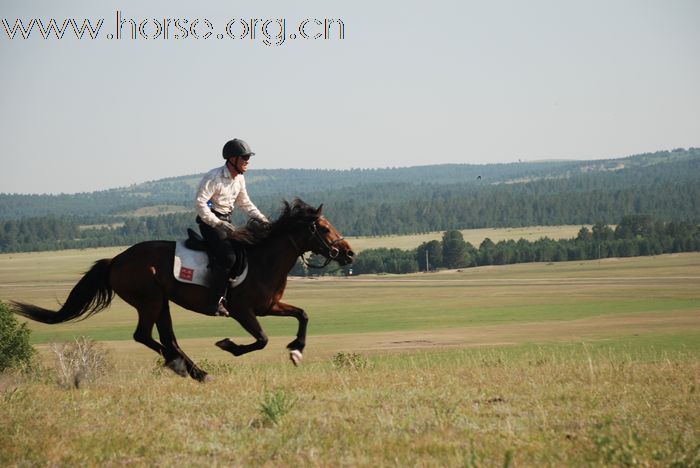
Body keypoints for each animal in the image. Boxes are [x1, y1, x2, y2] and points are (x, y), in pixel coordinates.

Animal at [8, 199, 352, 382]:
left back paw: (196, 371)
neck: (263, 260)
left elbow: (302, 315)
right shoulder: (242, 311)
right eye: (323, 228)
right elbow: (262, 340)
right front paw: (228, 345)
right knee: (145, 336)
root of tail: (116, 260)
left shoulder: (269, 307)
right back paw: (184, 367)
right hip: (149, 300)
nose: (348, 253)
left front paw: (296, 349)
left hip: (161, 302)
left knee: (166, 338)